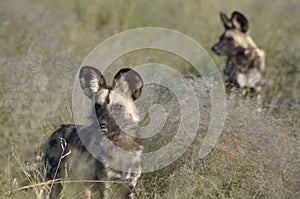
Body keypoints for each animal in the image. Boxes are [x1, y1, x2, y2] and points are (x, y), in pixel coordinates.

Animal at [42, 66, 144, 198]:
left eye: (117, 107)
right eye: (97, 106)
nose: (102, 123)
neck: (119, 145)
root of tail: (58, 130)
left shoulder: (130, 185)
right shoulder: (105, 183)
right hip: (55, 182)